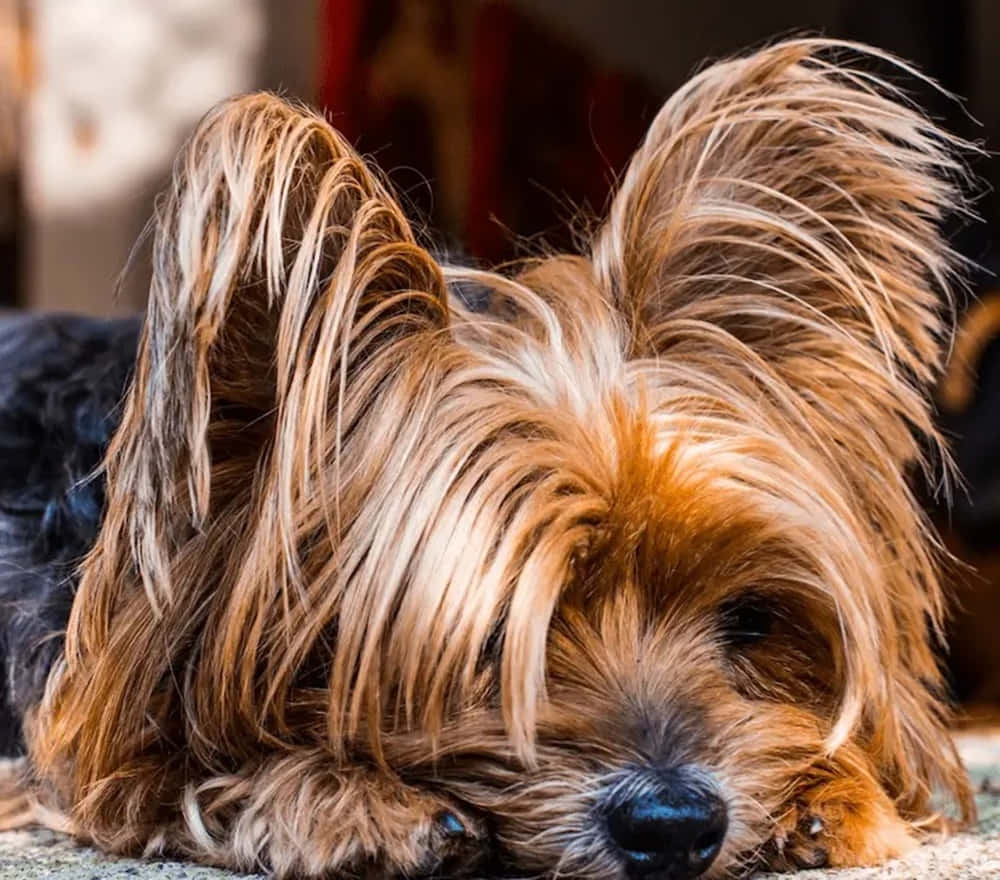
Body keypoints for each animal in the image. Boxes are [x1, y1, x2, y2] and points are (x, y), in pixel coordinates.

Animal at [0, 39, 976, 880]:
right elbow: (148, 779)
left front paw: (835, 791)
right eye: (496, 636)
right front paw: (345, 799)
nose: (675, 824)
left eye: (751, 621)